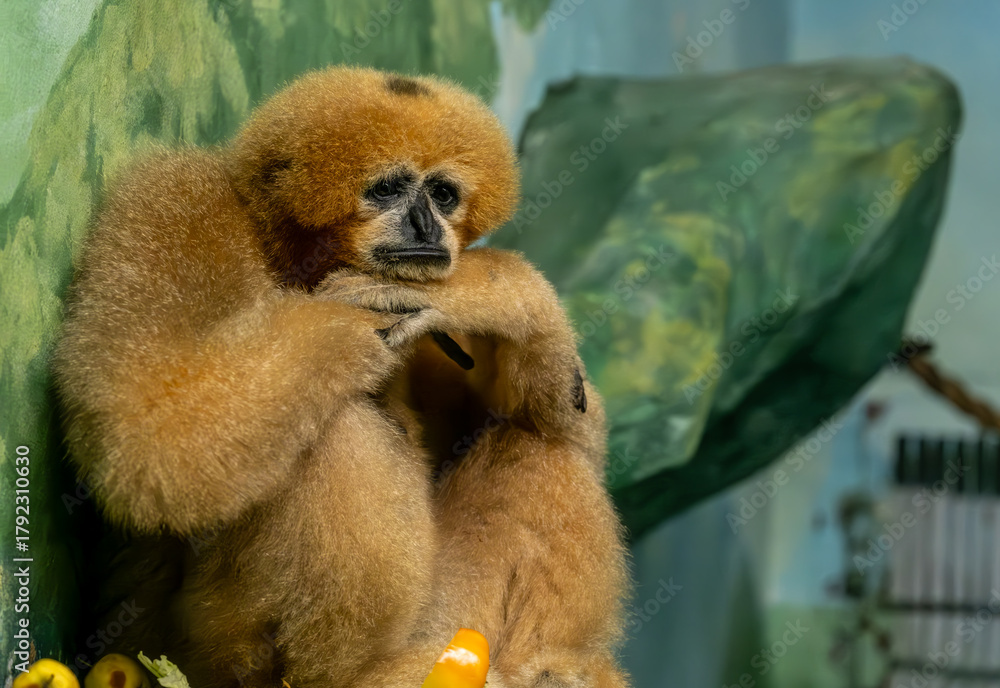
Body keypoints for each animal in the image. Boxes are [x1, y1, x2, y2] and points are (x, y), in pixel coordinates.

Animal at [52, 67, 629, 688]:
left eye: (443, 195)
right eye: (387, 190)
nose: (426, 224)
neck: (287, 254)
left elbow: (578, 427)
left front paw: (500, 290)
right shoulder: (175, 199)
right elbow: (149, 432)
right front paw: (351, 325)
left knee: (537, 439)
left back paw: (548, 668)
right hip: (205, 649)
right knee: (341, 426)